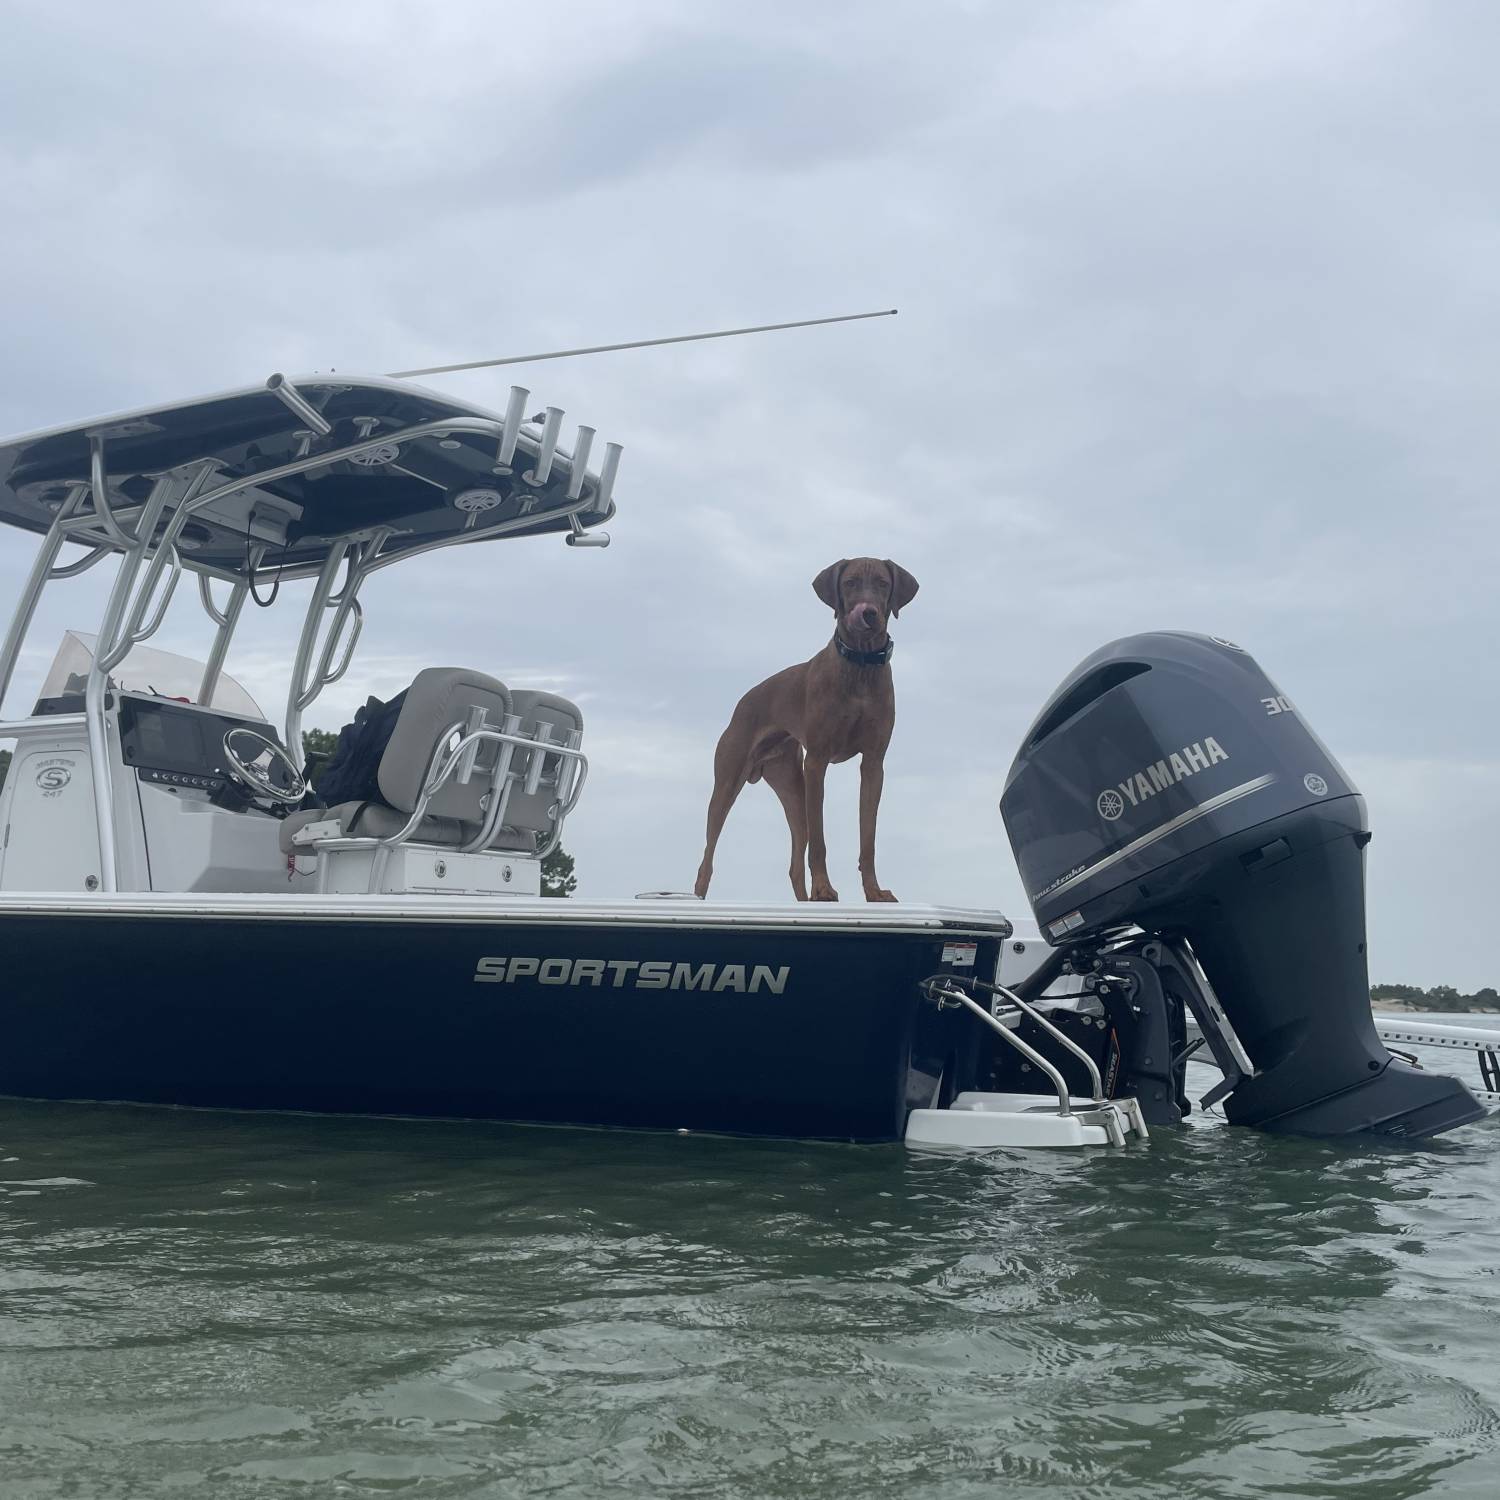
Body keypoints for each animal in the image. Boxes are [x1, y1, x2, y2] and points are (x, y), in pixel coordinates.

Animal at [690, 555, 912, 894]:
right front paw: (823, 889)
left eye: (883, 584)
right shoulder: (817, 761)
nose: (868, 613)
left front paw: (873, 892)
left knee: (795, 864)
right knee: (706, 862)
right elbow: (819, 842)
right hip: (729, 782)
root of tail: (742, 701)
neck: (859, 666)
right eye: (849, 583)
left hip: (792, 787)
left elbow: (868, 838)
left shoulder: (874, 763)